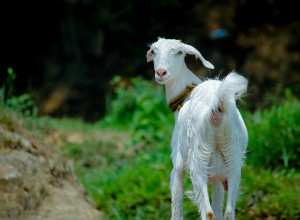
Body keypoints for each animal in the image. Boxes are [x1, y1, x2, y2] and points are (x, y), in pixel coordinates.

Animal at [146, 38, 247, 220]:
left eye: (179, 52)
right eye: (154, 51)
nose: (161, 72)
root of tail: (216, 107)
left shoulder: (177, 165)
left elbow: (176, 208)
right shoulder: (217, 177)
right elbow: (219, 207)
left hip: (198, 161)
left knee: (207, 212)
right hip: (233, 162)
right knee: (228, 211)